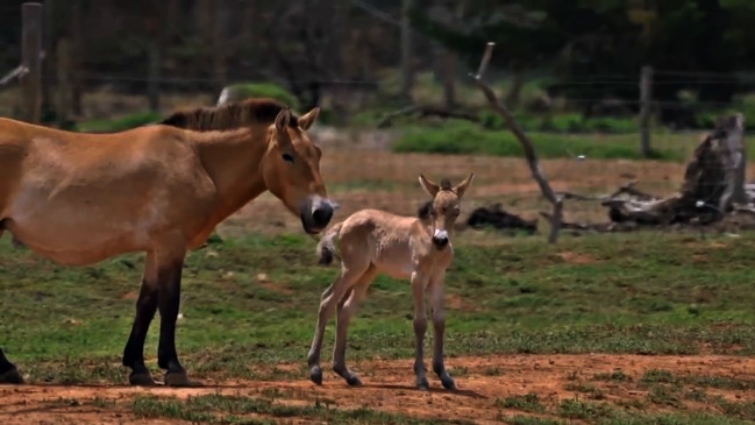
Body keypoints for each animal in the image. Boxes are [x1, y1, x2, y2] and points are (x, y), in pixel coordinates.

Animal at [0, 97, 335, 387]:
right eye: (288, 156)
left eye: (318, 153)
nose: (323, 212)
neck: (197, 161)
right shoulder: (171, 245)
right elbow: (170, 303)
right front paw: (173, 368)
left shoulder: (155, 249)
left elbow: (146, 304)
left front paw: (137, 367)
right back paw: (9, 369)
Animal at [307, 173, 474, 390]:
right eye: (433, 210)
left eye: (457, 212)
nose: (441, 240)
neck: (430, 243)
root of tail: (344, 223)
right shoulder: (417, 278)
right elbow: (420, 322)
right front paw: (421, 378)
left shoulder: (438, 278)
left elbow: (439, 320)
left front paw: (444, 376)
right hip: (353, 268)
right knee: (328, 299)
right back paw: (315, 369)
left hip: (368, 272)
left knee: (345, 308)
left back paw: (346, 373)